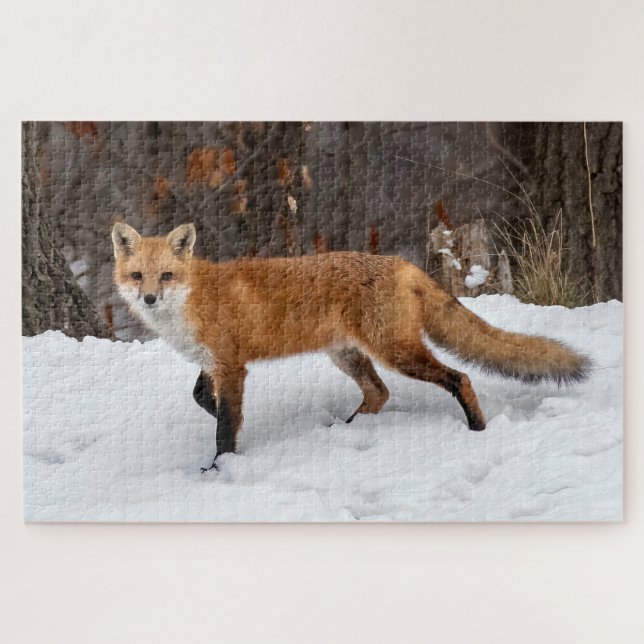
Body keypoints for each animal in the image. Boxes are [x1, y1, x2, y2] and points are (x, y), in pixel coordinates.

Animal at [112, 222, 591, 471]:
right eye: (137, 276)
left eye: (166, 276)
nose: (149, 299)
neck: (192, 300)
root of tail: (402, 263)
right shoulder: (214, 362)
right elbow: (201, 398)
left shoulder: (231, 365)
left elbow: (226, 425)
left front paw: (220, 467)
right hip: (347, 355)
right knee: (379, 393)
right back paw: (346, 430)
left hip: (395, 352)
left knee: (459, 377)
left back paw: (477, 429)